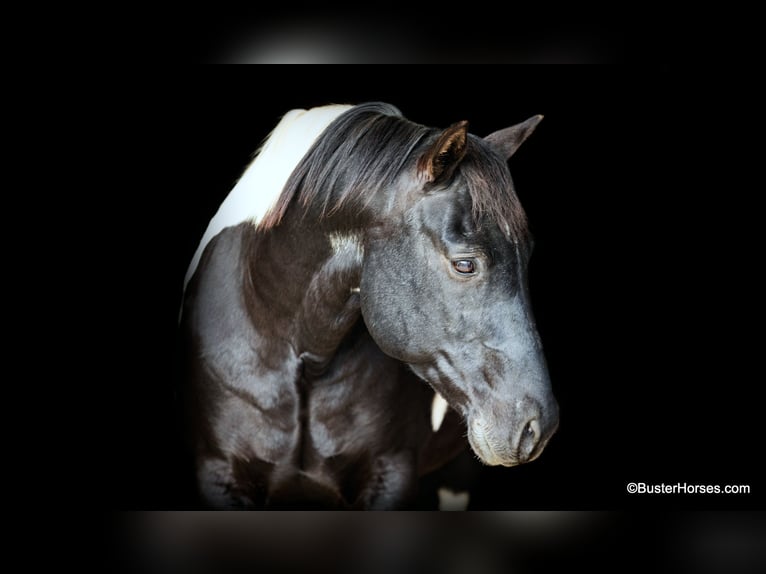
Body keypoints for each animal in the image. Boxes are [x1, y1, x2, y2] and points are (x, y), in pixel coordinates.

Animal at [180, 102, 558, 509]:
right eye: (465, 264)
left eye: (527, 255)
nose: (537, 427)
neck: (299, 355)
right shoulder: (219, 474)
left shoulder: (390, 474)